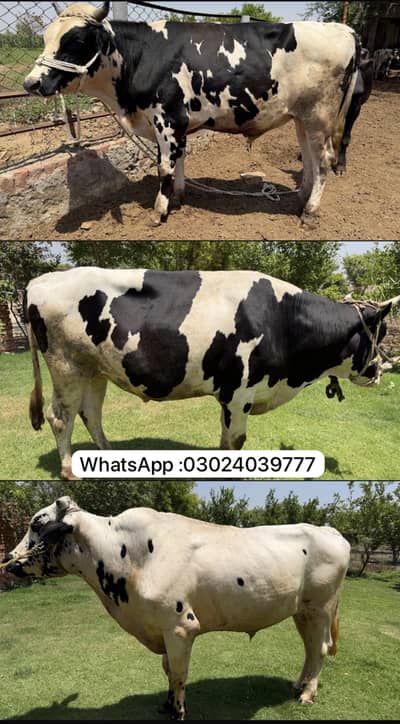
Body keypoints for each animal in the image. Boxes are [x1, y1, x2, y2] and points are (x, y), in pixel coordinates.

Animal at [3, 496, 351, 719]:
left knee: (319, 649)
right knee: (309, 649)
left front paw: (178, 711)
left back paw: (307, 694)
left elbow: (180, 673)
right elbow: (168, 670)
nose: (8, 559)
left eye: (37, 524)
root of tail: (328, 529)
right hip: (302, 610)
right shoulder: (162, 628)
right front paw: (166, 705)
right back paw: (298, 685)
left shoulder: (181, 627)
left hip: (320, 607)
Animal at [23, 1, 366, 226]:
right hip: (302, 119)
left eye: (77, 39)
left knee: (324, 161)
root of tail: (343, 28)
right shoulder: (176, 123)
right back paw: (302, 198)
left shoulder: (167, 118)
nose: (31, 83)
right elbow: (179, 161)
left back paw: (310, 212)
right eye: (45, 38)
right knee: (308, 157)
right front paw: (178, 197)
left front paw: (158, 212)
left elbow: (164, 166)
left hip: (320, 116)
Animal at [24, 267, 398, 481]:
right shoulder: (240, 390)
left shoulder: (231, 395)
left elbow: (225, 439)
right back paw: (70, 471)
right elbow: (236, 441)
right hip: (66, 365)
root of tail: (40, 280)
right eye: (380, 333)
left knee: (91, 413)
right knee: (60, 417)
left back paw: (108, 456)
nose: (380, 371)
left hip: (94, 368)